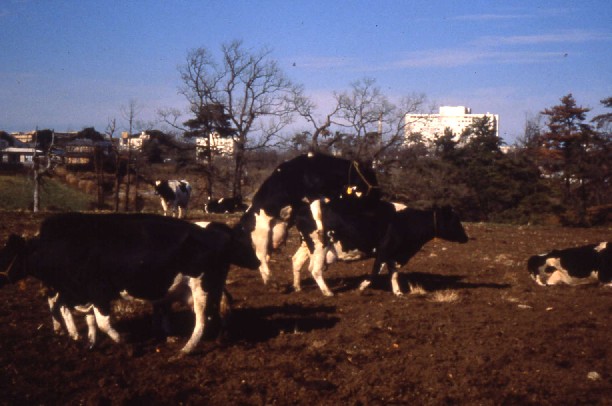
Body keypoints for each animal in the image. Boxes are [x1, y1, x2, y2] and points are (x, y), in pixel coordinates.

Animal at [0, 213, 258, 356]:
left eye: (6, 253)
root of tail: (218, 231)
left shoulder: (98, 292)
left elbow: (103, 322)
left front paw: (125, 343)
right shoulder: (84, 293)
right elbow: (91, 321)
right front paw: (90, 344)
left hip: (200, 287)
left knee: (202, 319)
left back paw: (185, 350)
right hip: (212, 285)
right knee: (224, 305)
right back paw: (222, 337)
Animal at [238, 153, 378, 286]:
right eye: (370, 176)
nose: (378, 193)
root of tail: (244, 220)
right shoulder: (313, 196)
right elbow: (317, 212)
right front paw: (321, 232)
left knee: (265, 258)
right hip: (261, 236)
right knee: (260, 258)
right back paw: (271, 281)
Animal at [292, 199, 468, 294]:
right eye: (455, 221)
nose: (466, 238)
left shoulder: (394, 254)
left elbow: (394, 274)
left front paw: (398, 292)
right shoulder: (384, 250)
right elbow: (376, 271)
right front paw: (362, 286)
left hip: (306, 245)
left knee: (296, 261)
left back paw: (297, 287)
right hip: (319, 247)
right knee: (315, 270)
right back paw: (328, 292)